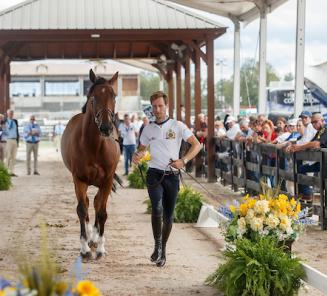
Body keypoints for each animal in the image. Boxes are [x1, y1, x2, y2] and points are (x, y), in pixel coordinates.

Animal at [61, 69, 120, 260]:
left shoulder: (107, 181)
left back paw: (94, 238)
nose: (106, 128)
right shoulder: (79, 179)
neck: (95, 147)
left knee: (96, 203)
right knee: (87, 204)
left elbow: (102, 212)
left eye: (114, 96)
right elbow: (81, 209)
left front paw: (100, 247)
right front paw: (85, 248)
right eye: (93, 97)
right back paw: (88, 237)